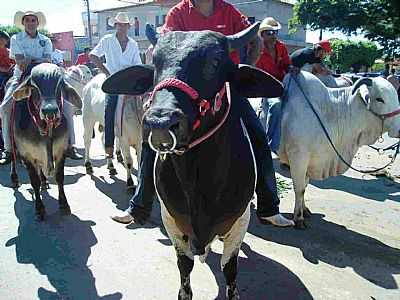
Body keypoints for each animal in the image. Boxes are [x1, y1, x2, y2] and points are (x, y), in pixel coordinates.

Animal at [10, 63, 82, 220]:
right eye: (34, 86)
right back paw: (14, 178)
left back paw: (44, 181)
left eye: (59, 84)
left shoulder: (61, 151)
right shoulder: (27, 156)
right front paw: (39, 208)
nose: (50, 111)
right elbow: (34, 182)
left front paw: (64, 205)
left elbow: (59, 178)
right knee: (12, 156)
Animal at [103, 22, 282, 298]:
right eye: (155, 61)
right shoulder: (173, 222)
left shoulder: (238, 223)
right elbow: (184, 265)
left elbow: (230, 268)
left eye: (215, 61)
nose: (160, 122)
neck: (198, 180)